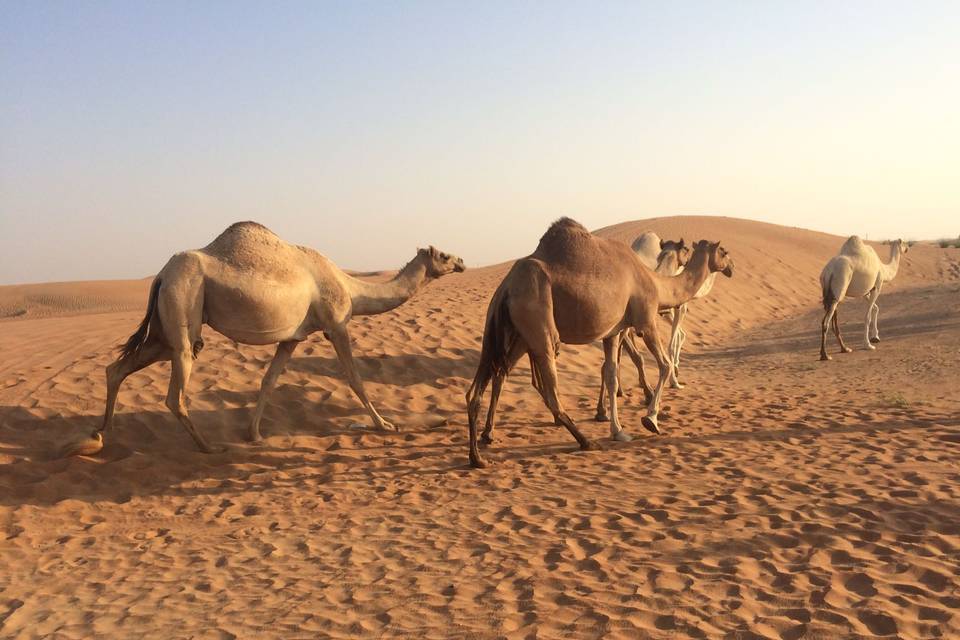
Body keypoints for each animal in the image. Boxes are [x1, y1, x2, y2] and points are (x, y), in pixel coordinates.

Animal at [466, 218, 736, 468]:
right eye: (724, 252)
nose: (731, 267)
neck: (656, 282)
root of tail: (506, 288)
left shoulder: (614, 331)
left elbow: (611, 374)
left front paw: (618, 430)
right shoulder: (645, 321)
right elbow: (664, 364)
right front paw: (651, 419)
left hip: (504, 331)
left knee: (482, 385)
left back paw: (479, 453)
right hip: (537, 320)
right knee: (549, 389)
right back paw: (586, 441)